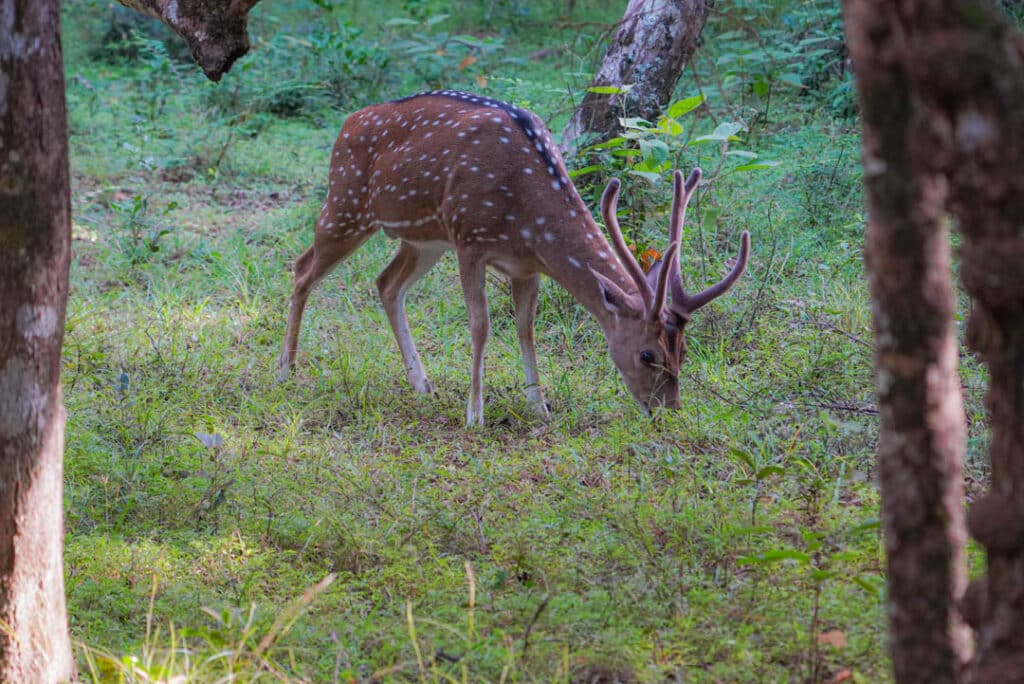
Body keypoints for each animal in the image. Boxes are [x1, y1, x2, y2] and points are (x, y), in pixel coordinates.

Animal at [280, 89, 753, 423]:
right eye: (647, 355)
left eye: (684, 351)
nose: (668, 410)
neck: (528, 218)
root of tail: (348, 122)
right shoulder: (470, 240)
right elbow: (481, 325)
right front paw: (475, 413)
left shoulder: (528, 266)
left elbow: (526, 329)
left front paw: (538, 406)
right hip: (347, 204)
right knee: (302, 268)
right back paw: (286, 370)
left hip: (423, 239)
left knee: (386, 283)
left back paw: (422, 384)